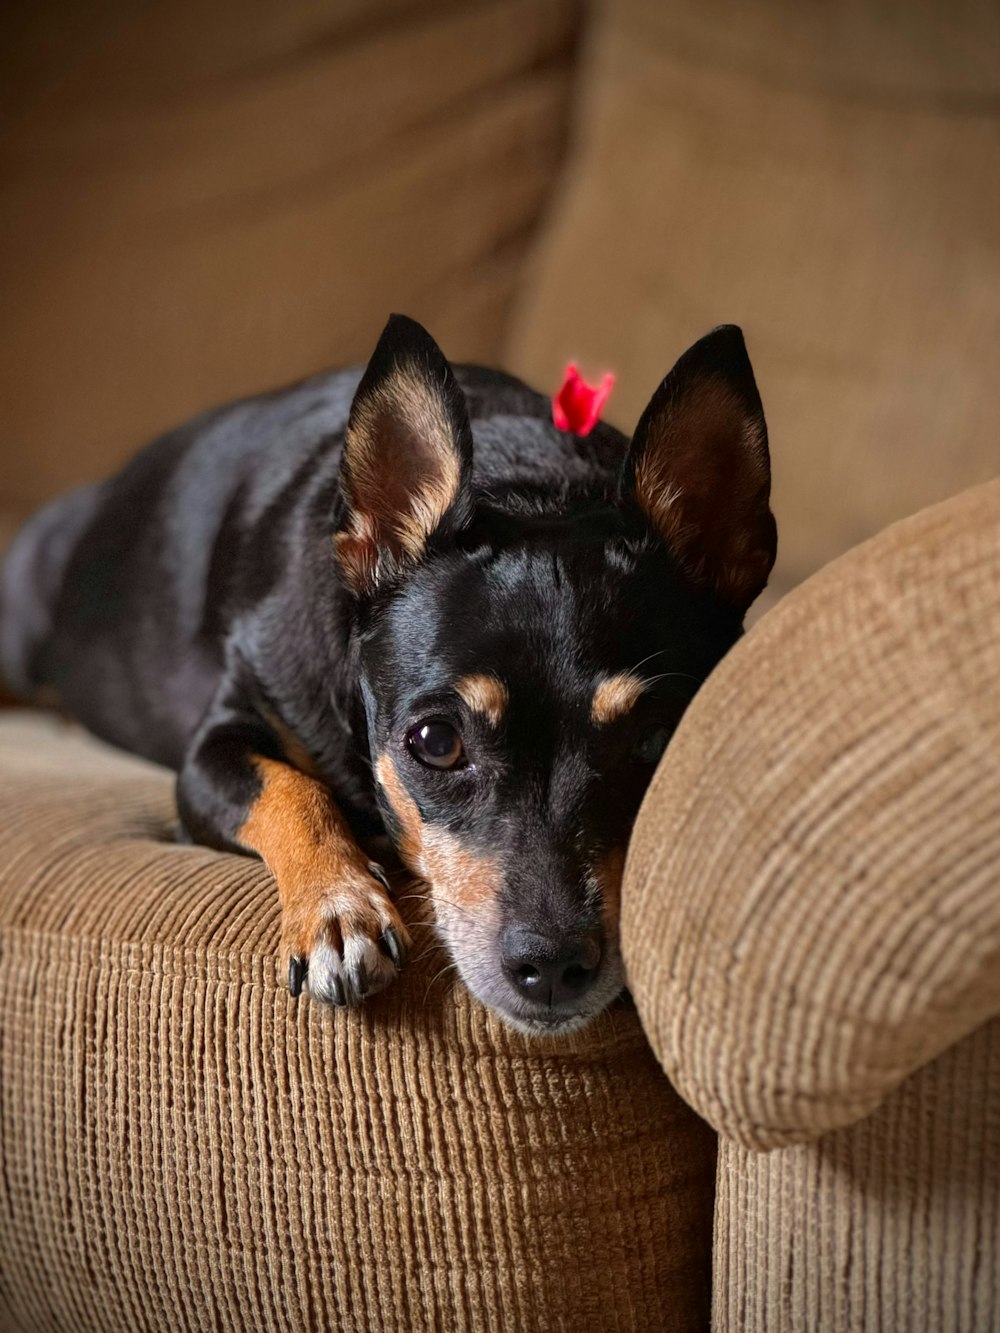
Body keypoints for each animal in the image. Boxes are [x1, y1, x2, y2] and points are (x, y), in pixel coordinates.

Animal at [0, 317, 778, 1034]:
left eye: (658, 743)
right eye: (435, 742)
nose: (553, 966)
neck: (533, 484)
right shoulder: (216, 745)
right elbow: (293, 789)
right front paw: (337, 908)